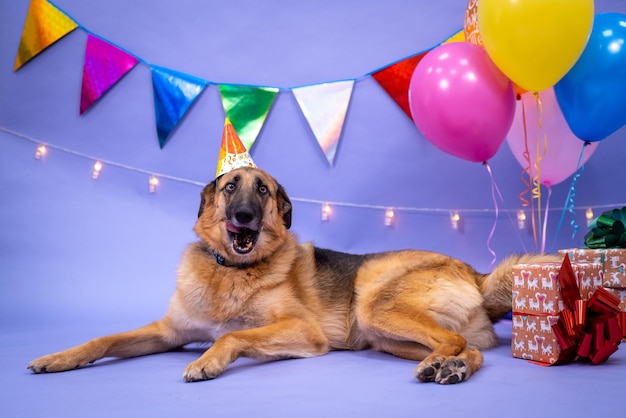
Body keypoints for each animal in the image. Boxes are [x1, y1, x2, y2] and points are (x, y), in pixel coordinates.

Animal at [29, 167, 556, 386]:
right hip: (383, 336)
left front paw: (208, 362)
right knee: (468, 348)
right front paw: (58, 357)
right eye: (230, 188)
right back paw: (451, 368)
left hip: (373, 302)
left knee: (453, 341)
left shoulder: (300, 331)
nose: (243, 216)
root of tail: (476, 272)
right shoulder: (167, 332)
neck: (234, 272)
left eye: (262, 190)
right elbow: (103, 338)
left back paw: (442, 366)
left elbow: (232, 337)